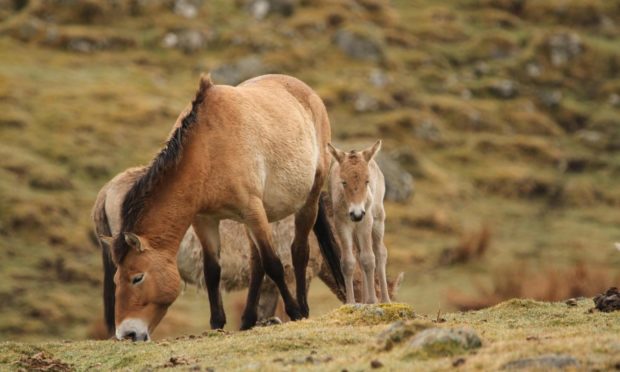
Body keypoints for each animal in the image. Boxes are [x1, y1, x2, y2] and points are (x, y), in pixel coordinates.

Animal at [102, 74, 344, 342]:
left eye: (137, 278)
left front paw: (295, 311)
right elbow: (212, 271)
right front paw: (217, 323)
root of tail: (308, 93)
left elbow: (274, 264)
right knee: (256, 262)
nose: (128, 333)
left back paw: (302, 308)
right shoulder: (205, 219)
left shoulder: (252, 209)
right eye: (116, 279)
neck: (208, 148)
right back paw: (248, 320)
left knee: (298, 252)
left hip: (305, 202)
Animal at [326, 141, 390, 304]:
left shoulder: (366, 222)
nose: (357, 214)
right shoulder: (341, 224)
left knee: (380, 252)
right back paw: (365, 300)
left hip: (378, 220)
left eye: (367, 181)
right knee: (360, 255)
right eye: (343, 182)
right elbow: (348, 262)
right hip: (356, 231)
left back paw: (385, 300)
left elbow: (369, 259)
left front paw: (373, 301)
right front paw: (351, 302)